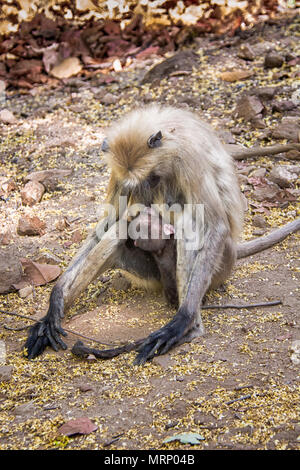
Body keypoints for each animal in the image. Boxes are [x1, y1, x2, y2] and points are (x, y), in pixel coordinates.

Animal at [24, 105, 245, 364]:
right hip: (150, 274)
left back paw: (191, 327)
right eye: (141, 182)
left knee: (188, 223)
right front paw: (56, 297)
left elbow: (215, 225)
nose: (146, 189)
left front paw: (183, 319)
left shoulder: (188, 156)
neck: (170, 129)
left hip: (221, 267)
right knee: (120, 228)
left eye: (153, 177)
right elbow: (108, 223)